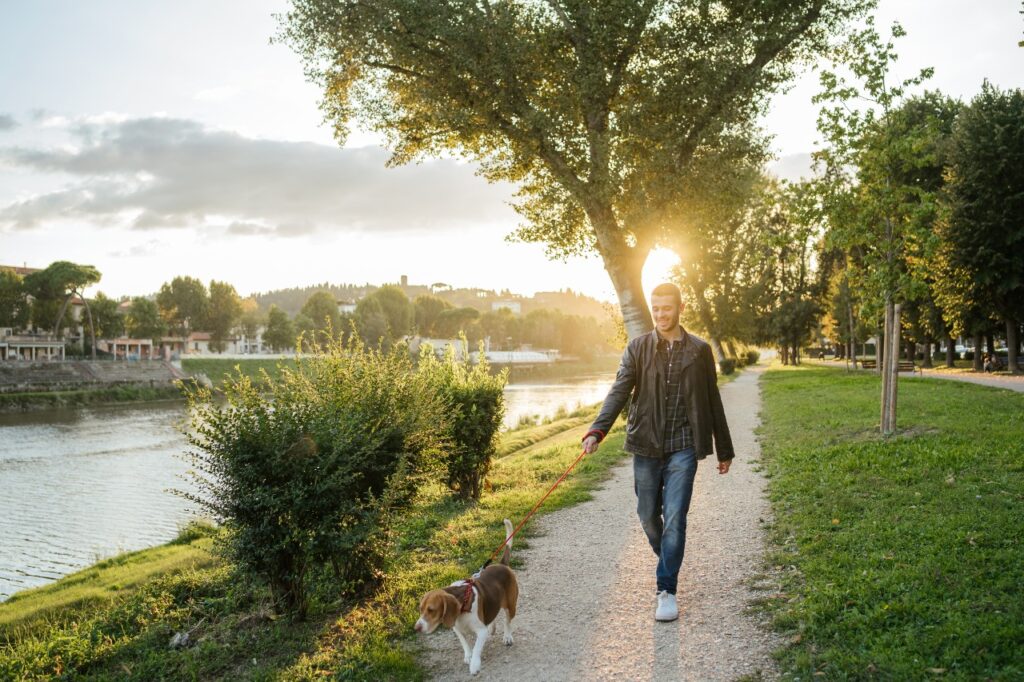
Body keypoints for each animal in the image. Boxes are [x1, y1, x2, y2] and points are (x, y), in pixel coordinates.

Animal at [411, 518, 516, 671]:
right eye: (420, 609)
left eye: (431, 610)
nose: (416, 628)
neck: (463, 606)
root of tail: (502, 565)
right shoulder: (457, 629)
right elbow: (465, 643)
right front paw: (468, 656)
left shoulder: (481, 632)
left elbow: (477, 647)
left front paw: (474, 664)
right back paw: (492, 627)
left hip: (511, 605)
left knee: (508, 621)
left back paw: (507, 637)